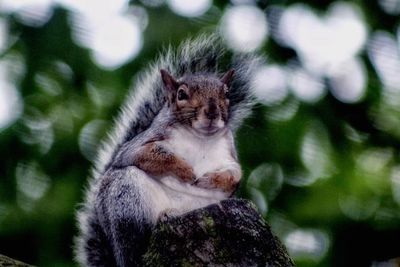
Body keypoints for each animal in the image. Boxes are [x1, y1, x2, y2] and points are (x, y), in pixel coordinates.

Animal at [74, 34, 262, 266]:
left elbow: (234, 176)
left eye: (226, 94)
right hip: (126, 198)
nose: (212, 111)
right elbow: (147, 155)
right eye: (181, 94)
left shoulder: (228, 156)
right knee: (133, 244)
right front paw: (185, 170)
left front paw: (210, 180)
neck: (200, 139)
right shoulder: (141, 145)